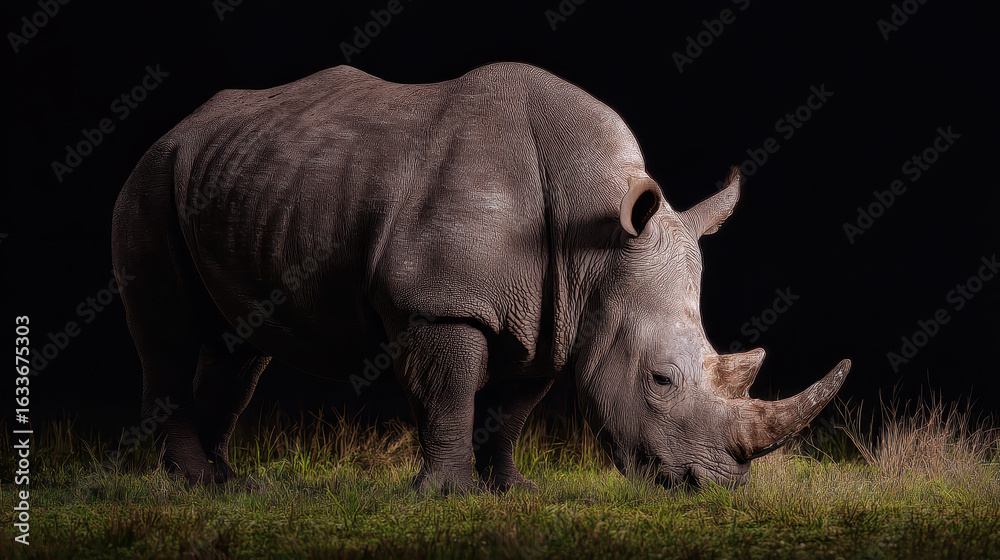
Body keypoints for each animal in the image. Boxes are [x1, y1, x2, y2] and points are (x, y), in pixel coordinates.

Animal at [111, 62, 850, 492]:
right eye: (661, 380)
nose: (718, 486)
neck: (595, 241)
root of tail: (180, 128)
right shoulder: (441, 302)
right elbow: (452, 393)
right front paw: (447, 493)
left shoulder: (557, 316)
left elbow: (511, 409)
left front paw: (511, 489)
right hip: (151, 181)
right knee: (167, 331)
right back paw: (192, 484)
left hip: (240, 175)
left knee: (243, 348)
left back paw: (229, 485)